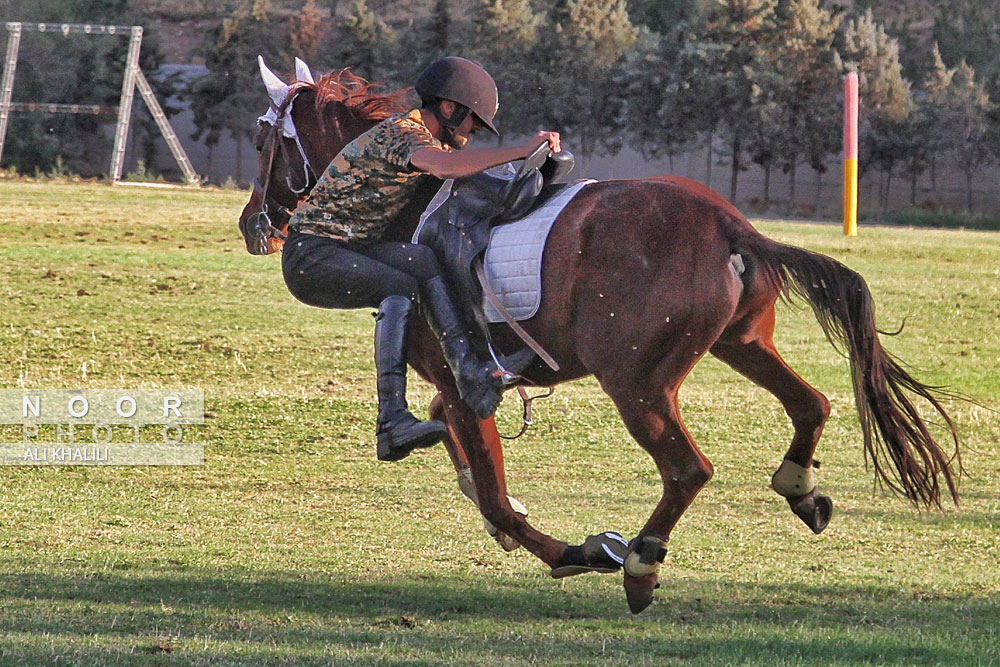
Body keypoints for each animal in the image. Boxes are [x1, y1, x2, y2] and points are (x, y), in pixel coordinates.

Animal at [238, 60, 964, 612]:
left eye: (262, 140)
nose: (252, 225)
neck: (411, 201)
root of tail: (732, 227)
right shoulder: (459, 388)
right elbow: (477, 475)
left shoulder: (459, 381)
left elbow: (493, 494)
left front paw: (574, 551)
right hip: (742, 344)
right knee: (811, 405)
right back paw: (800, 487)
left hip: (637, 383)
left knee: (688, 468)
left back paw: (641, 563)